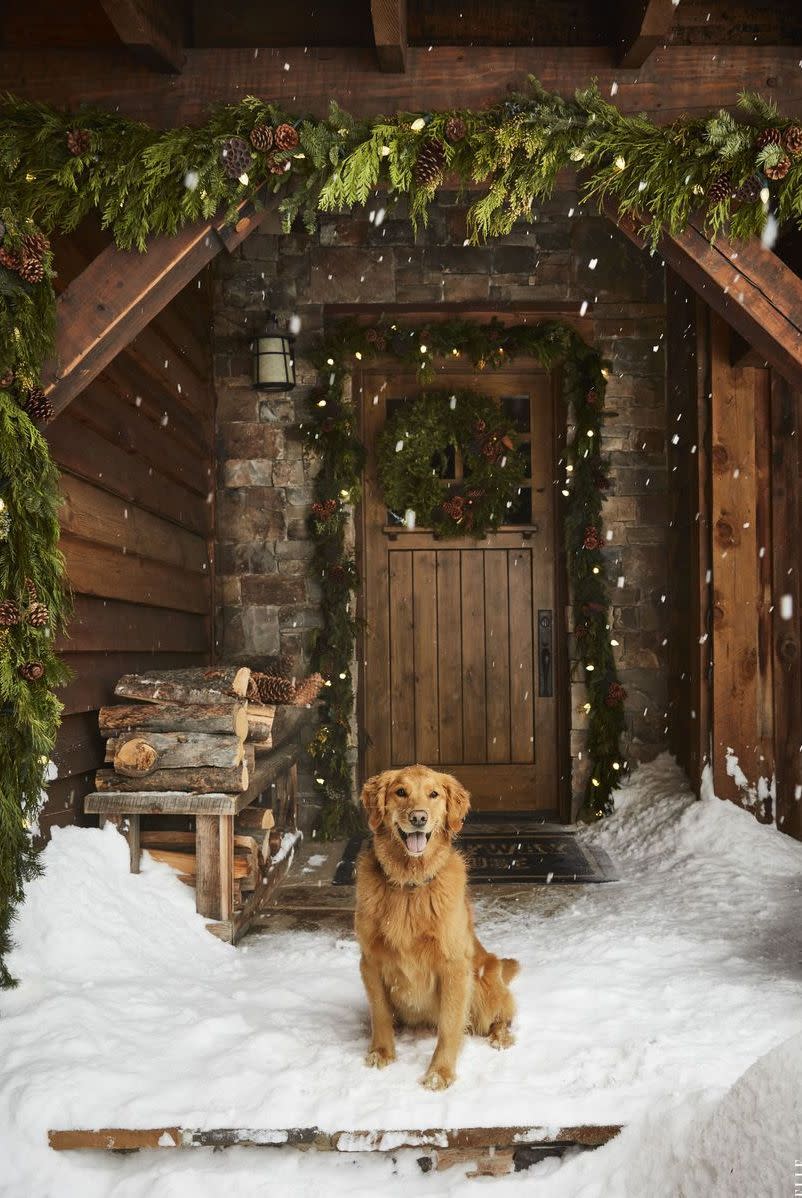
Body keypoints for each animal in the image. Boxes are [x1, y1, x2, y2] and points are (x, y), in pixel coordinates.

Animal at [352, 761, 515, 1092]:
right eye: (401, 792)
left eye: (434, 794)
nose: (418, 817)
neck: (409, 884)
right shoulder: (370, 960)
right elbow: (380, 1014)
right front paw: (381, 1052)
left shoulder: (453, 966)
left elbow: (451, 1026)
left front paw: (440, 1072)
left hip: (483, 982)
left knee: (502, 1017)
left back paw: (500, 1037)